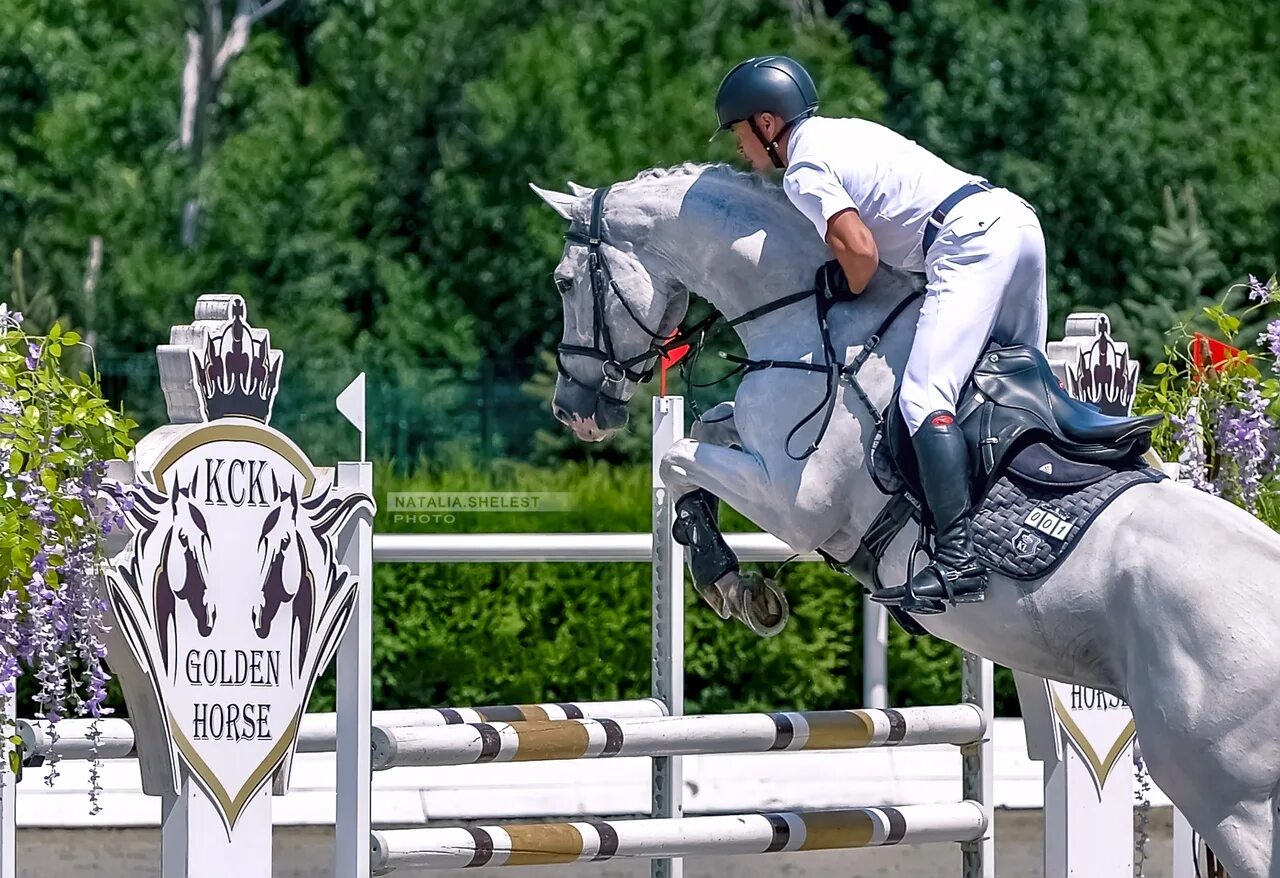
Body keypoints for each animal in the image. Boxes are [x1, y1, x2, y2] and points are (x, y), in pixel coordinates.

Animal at [535, 163, 1280, 878]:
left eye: (564, 282)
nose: (574, 410)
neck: (813, 324)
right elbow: (708, 430)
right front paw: (739, 582)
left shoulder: (797, 502)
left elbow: (678, 459)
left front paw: (730, 583)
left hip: (1230, 799)